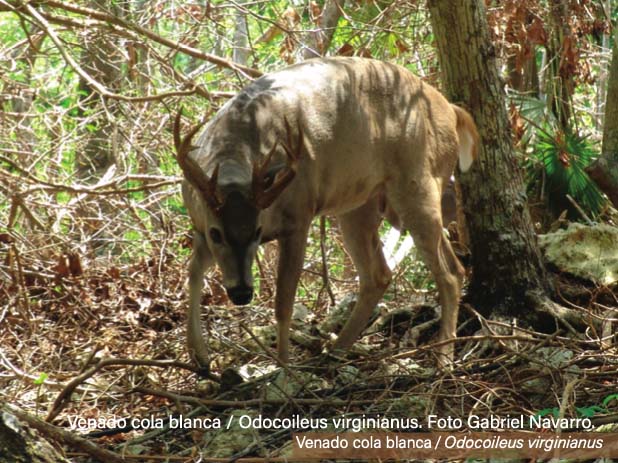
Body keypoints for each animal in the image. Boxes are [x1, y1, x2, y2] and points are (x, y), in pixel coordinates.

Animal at [173, 57, 476, 370]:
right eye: (216, 233)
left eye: (256, 231)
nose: (242, 293)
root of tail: (451, 110)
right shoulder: (200, 225)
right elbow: (193, 273)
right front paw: (199, 355)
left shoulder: (299, 217)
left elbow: (284, 301)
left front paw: (284, 365)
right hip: (359, 205)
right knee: (381, 275)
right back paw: (336, 351)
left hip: (418, 185)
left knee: (449, 274)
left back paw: (443, 358)